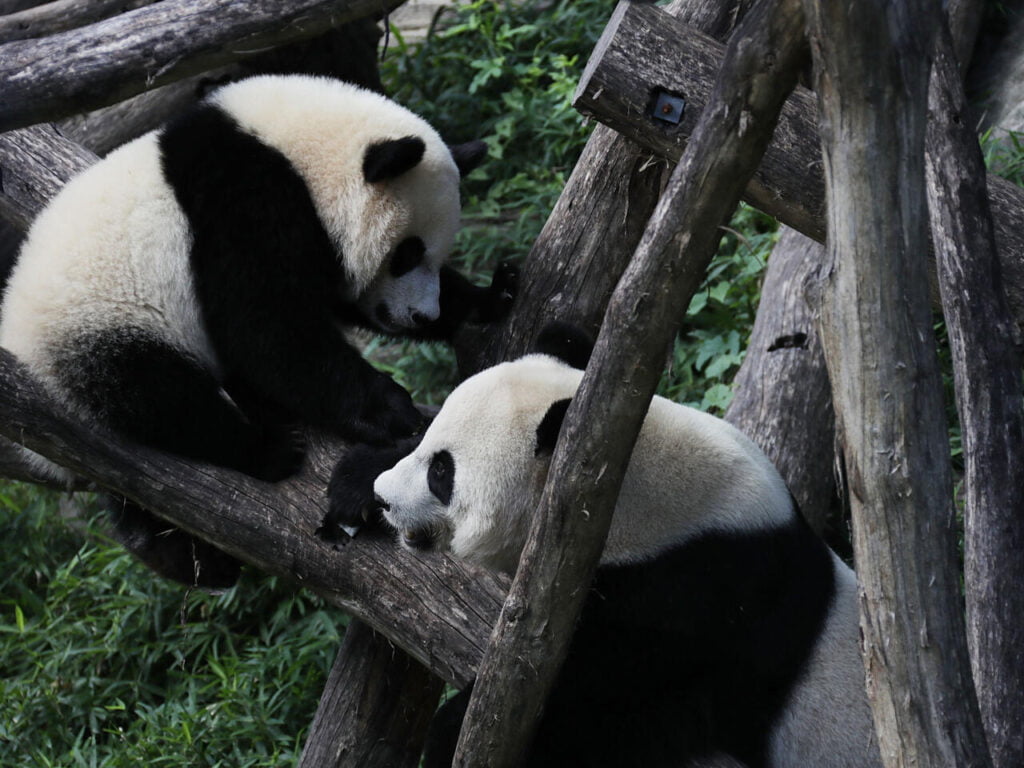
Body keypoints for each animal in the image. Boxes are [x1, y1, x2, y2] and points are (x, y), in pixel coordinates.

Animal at [0, 75, 512, 585]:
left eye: (435, 255)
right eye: (407, 252)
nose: (422, 314)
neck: (297, 152)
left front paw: (487, 298)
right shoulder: (241, 205)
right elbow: (267, 329)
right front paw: (391, 409)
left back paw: (185, 557)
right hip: (100, 330)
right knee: (160, 396)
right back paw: (265, 451)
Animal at [325, 323, 880, 768]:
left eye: (443, 472)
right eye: (429, 443)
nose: (387, 498)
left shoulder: (701, 598)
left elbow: (605, 697)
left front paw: (451, 731)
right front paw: (356, 482)